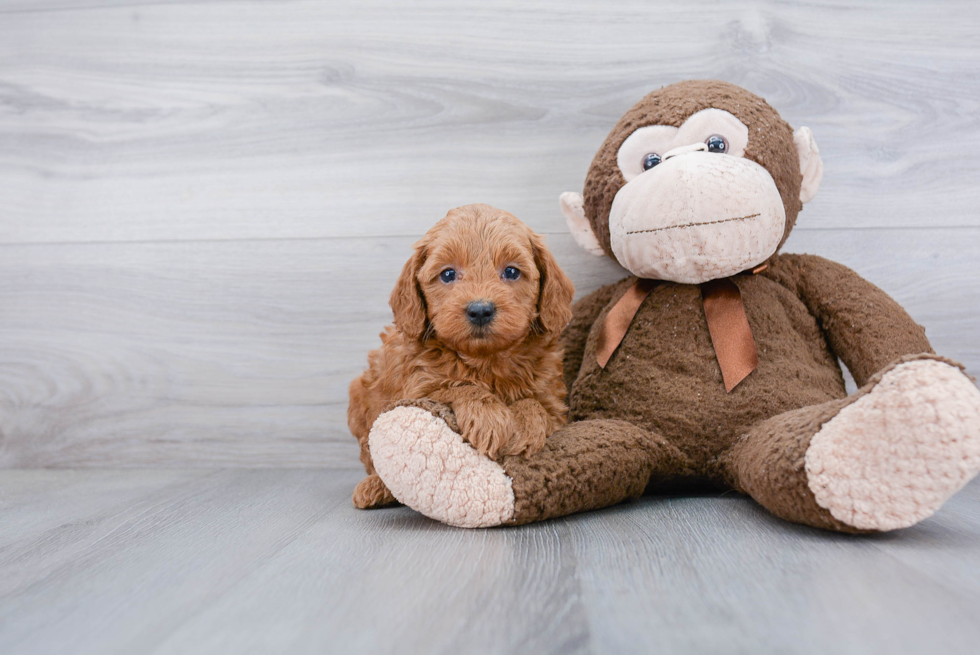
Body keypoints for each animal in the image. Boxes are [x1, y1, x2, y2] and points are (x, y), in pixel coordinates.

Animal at [348, 202, 576, 510]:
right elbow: (457, 385)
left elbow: (535, 404)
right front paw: (488, 417)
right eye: (447, 274)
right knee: (372, 456)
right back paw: (375, 487)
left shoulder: (554, 404)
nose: (480, 310)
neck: (486, 360)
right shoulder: (417, 387)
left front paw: (525, 426)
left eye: (511, 272)